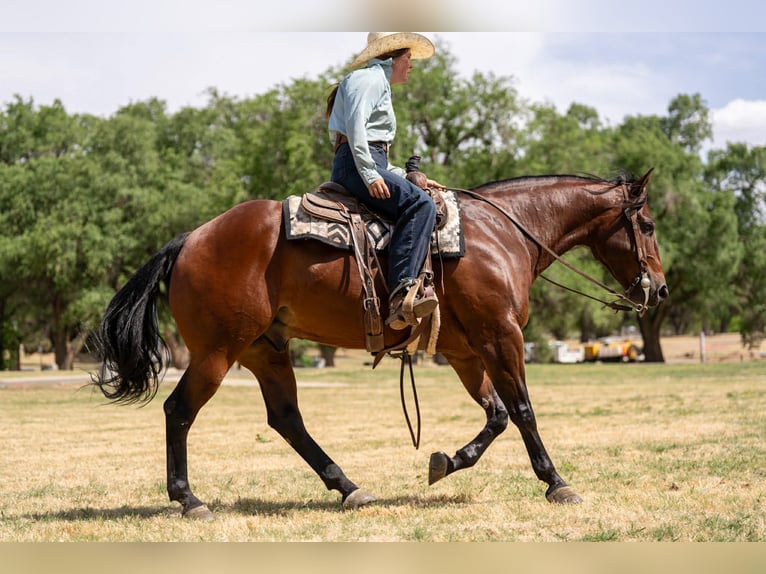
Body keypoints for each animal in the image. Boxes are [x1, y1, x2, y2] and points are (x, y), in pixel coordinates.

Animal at [93, 169, 668, 519]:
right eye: (647, 223)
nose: (659, 289)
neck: (499, 235)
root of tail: (189, 239)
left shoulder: (464, 350)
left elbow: (498, 414)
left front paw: (447, 461)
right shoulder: (501, 335)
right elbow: (523, 409)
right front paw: (556, 482)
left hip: (266, 350)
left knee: (286, 420)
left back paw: (348, 487)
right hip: (217, 352)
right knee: (179, 411)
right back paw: (189, 499)